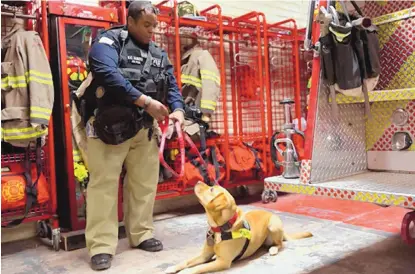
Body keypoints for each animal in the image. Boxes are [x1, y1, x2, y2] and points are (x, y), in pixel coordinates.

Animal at [166, 181, 312, 272]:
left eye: (211, 189)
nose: (197, 181)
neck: (220, 228)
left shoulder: (222, 262)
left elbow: (195, 268)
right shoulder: (204, 256)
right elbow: (186, 262)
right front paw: (172, 268)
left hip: (273, 226)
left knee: (281, 244)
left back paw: (273, 249)